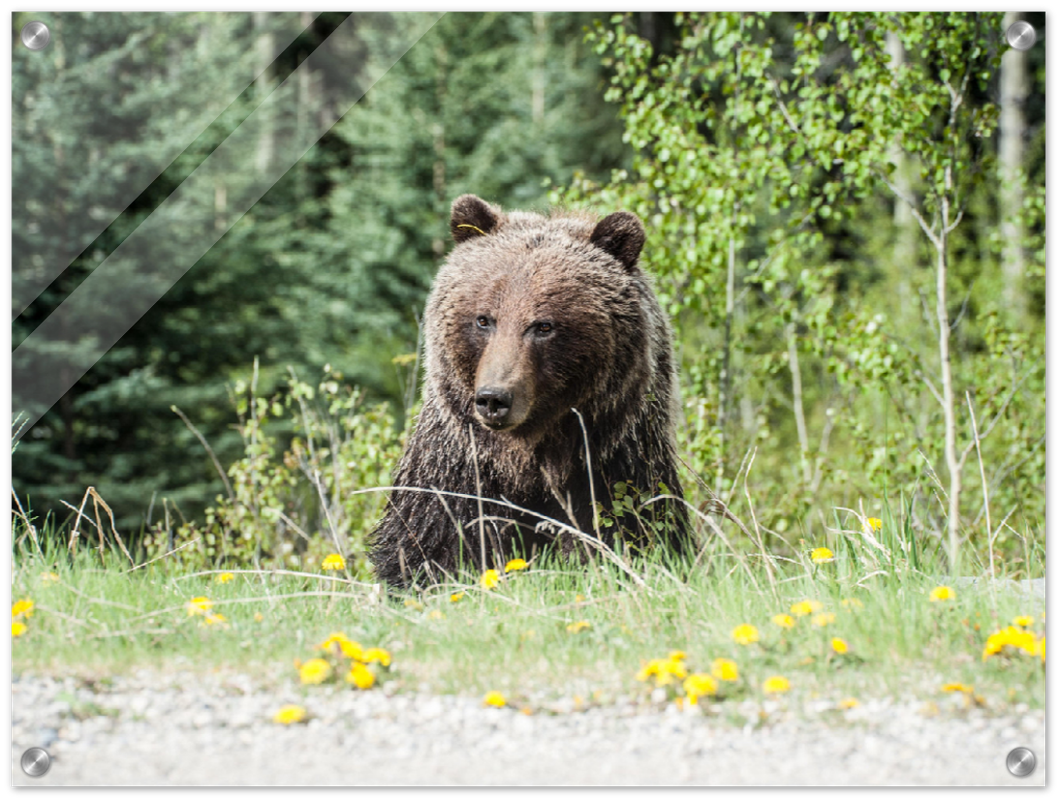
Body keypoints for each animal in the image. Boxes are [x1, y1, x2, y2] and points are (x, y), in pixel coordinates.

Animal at [370, 194, 691, 587]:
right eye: (483, 319)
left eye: (543, 326)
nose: (494, 398)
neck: (529, 459)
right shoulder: (459, 469)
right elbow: (430, 545)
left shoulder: (613, 464)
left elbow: (632, 531)